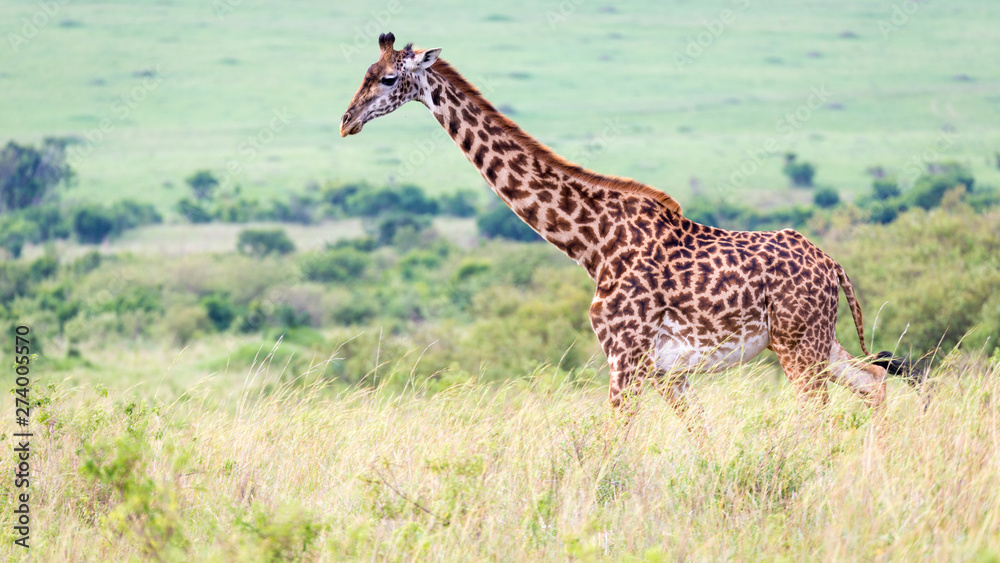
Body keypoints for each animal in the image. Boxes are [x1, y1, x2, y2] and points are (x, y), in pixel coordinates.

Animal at [340, 33, 889, 427]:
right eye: (363, 74)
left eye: (388, 78)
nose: (346, 121)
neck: (593, 244)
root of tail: (833, 266)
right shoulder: (666, 372)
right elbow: (702, 437)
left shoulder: (624, 355)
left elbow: (612, 444)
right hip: (814, 341)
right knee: (876, 382)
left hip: (800, 345)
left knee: (820, 414)